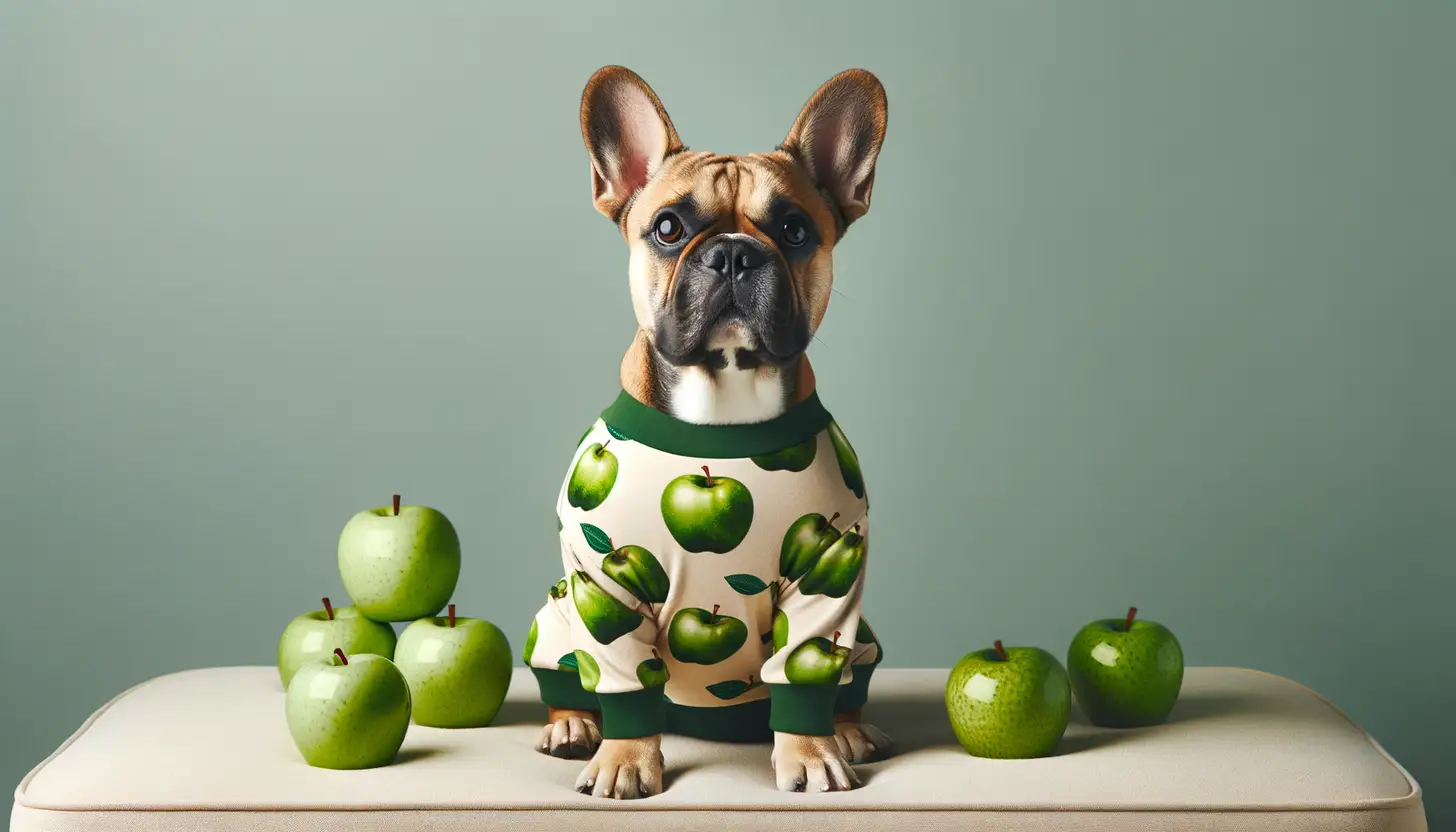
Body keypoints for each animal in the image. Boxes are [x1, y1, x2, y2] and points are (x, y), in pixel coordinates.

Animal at [524, 66, 885, 798]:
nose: (734, 255)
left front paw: (809, 751)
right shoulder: (601, 585)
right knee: (568, 673)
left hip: (864, 631)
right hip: (557, 615)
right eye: (668, 228)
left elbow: (807, 663)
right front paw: (627, 758)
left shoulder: (830, 573)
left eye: (795, 229)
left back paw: (849, 728)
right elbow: (622, 675)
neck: (723, 400)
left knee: (849, 677)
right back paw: (572, 722)